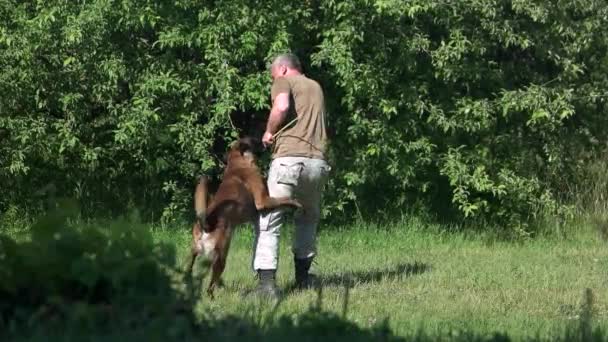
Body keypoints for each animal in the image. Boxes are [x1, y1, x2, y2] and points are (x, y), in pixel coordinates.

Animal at [184, 136, 300, 296]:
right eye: (254, 140)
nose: (266, 141)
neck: (237, 162)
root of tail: (206, 223)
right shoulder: (263, 200)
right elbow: (284, 200)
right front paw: (295, 203)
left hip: (194, 251)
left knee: (189, 269)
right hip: (221, 256)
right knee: (210, 287)